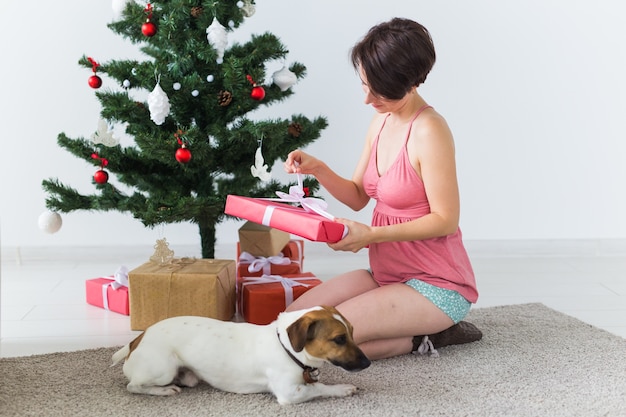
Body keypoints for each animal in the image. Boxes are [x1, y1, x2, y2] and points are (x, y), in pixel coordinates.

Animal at [111, 306, 370, 404]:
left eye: (353, 332)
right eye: (339, 339)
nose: (368, 363)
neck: (286, 347)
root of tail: (136, 341)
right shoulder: (290, 393)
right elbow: (320, 387)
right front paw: (342, 388)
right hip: (163, 369)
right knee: (133, 386)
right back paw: (163, 391)